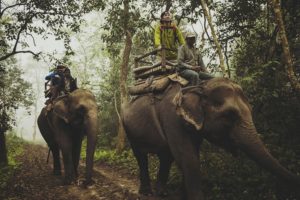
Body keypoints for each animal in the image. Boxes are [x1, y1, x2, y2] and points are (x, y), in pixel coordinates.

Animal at [122, 77, 300, 199]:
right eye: (230, 115)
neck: (199, 87)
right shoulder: (171, 116)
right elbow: (188, 158)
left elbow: (190, 155)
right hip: (129, 130)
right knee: (141, 157)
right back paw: (146, 192)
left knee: (165, 157)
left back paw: (161, 193)